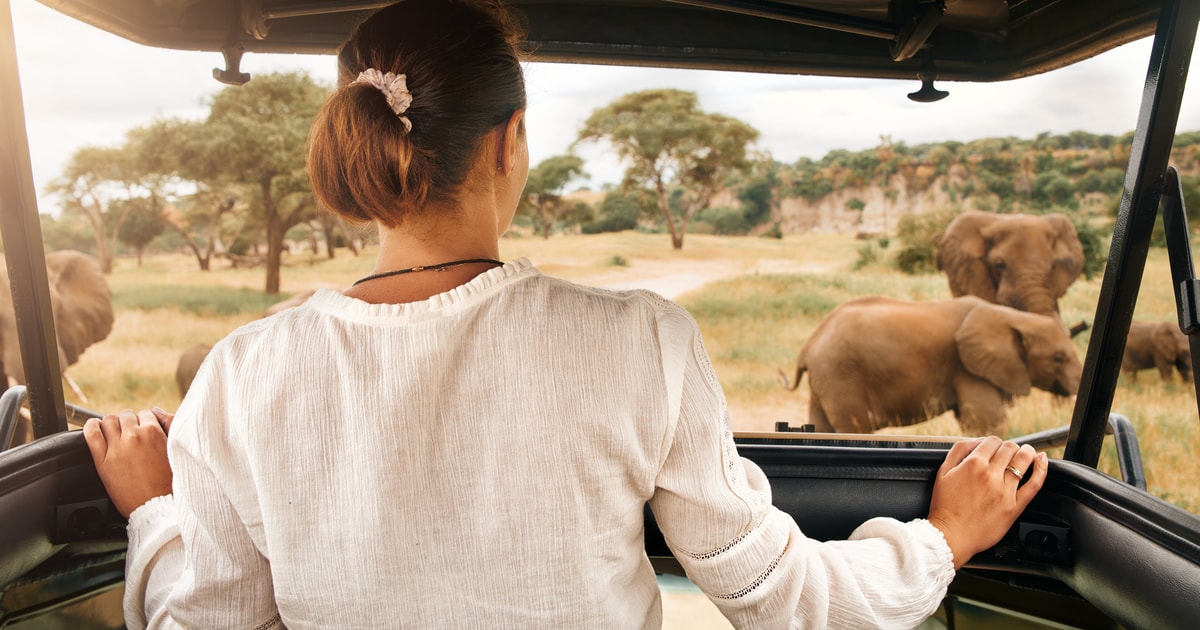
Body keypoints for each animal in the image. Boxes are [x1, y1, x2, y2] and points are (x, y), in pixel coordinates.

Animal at [782, 296, 1084, 434]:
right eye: (1058, 358)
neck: (1015, 317)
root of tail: (808, 346)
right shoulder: (968, 369)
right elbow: (987, 423)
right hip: (841, 377)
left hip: (826, 381)